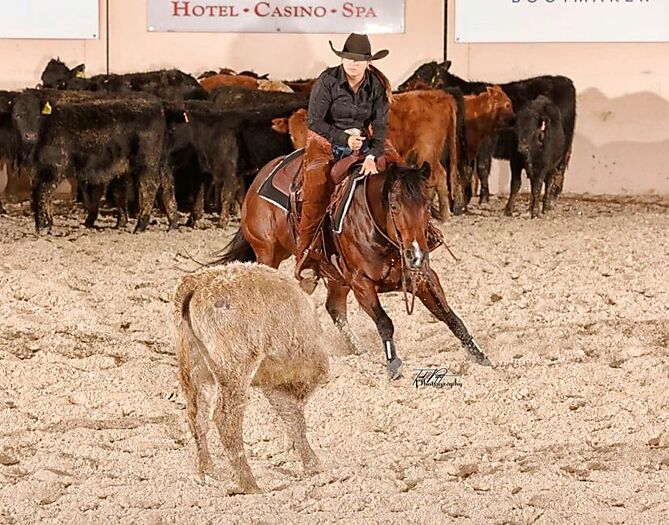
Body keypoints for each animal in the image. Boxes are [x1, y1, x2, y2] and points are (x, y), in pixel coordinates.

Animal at [12, 89, 174, 233]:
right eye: (17, 115)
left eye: (37, 116)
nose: (30, 135)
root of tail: (157, 104)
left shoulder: (53, 168)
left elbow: (42, 192)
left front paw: (43, 227)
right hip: (159, 162)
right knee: (167, 185)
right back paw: (172, 224)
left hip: (147, 163)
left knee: (149, 187)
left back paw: (140, 226)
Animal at [214, 156, 491, 379]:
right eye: (394, 206)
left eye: (425, 205)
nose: (415, 253)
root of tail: (259, 179)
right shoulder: (361, 282)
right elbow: (385, 322)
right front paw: (393, 364)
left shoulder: (423, 277)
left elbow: (450, 316)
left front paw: (480, 356)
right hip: (267, 254)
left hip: (336, 275)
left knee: (334, 307)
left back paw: (358, 350)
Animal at [399, 61, 576, 208]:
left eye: (421, 73)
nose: (401, 87)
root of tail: (564, 81)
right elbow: (467, 170)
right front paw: (465, 199)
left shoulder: (485, 144)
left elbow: (481, 168)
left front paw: (482, 199)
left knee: (556, 171)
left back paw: (550, 199)